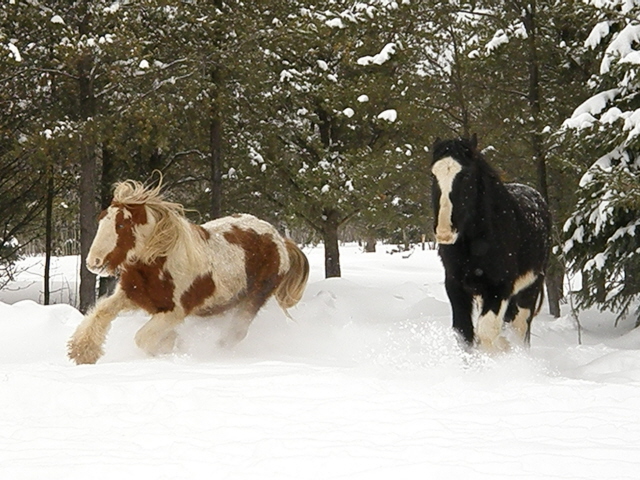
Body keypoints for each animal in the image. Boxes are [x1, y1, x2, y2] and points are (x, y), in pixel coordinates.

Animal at [67, 179, 310, 364]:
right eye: (101, 219)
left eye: (121, 225)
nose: (93, 262)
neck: (157, 263)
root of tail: (279, 239)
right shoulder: (130, 295)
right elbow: (100, 313)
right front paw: (82, 352)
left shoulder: (173, 312)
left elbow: (143, 339)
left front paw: (170, 347)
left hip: (254, 298)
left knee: (235, 334)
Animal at [432, 136, 552, 352]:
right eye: (433, 174)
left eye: (466, 175)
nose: (445, 232)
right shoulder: (455, 286)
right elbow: (464, 334)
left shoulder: (499, 287)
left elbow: (487, 332)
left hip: (530, 288)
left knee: (520, 327)